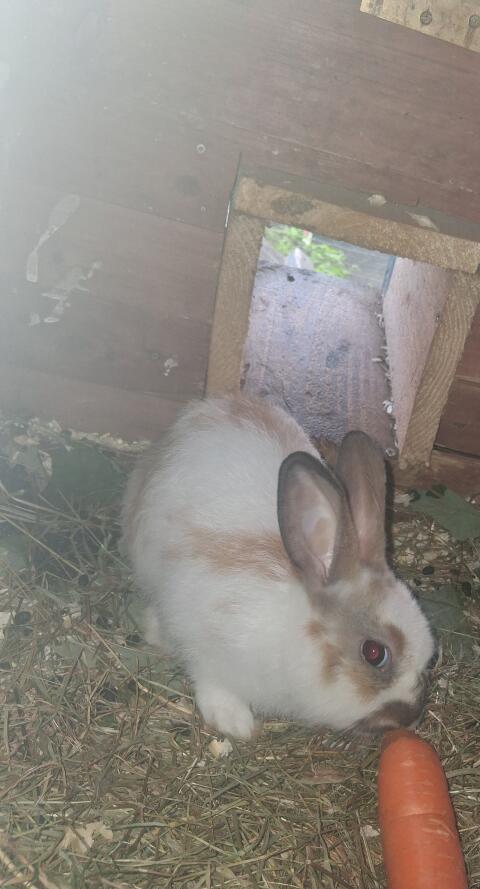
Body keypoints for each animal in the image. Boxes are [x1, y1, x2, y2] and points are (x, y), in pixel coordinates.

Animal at [121, 394, 434, 740]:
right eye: (374, 653)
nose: (412, 716)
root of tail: (199, 411)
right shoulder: (203, 639)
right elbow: (211, 680)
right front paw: (235, 722)